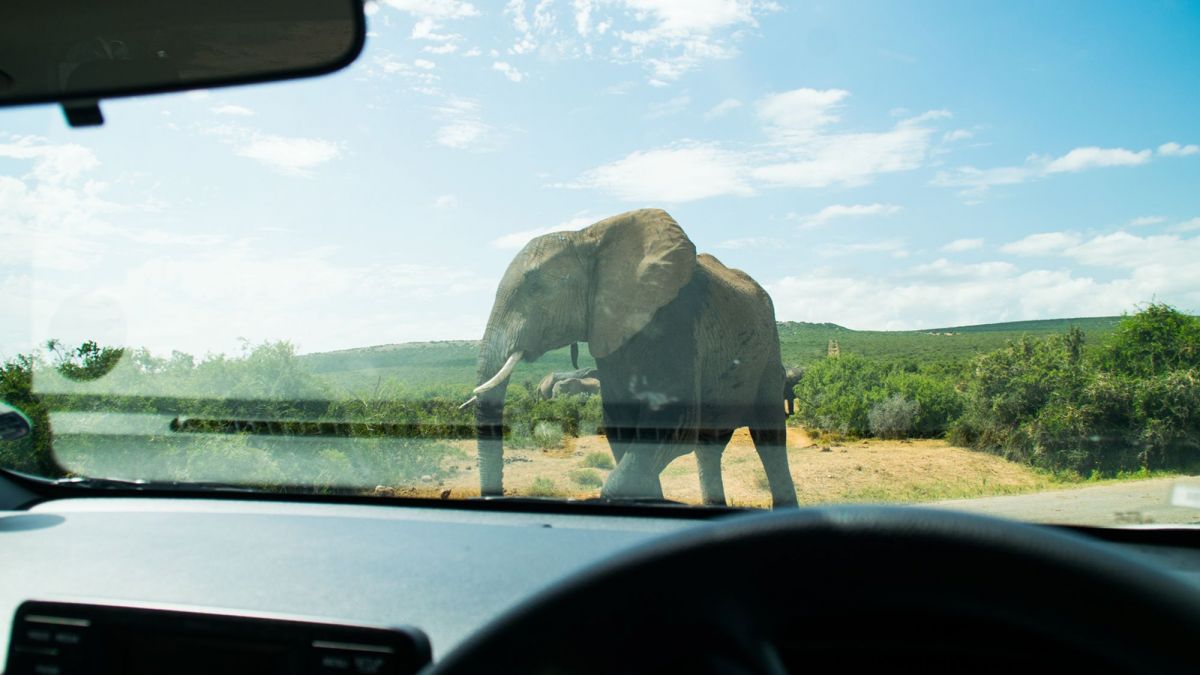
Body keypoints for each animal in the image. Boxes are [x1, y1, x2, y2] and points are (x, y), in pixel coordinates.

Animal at [465, 207, 796, 506]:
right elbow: (621, 426)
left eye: (535, 287)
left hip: (769, 350)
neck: (586, 237)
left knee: (769, 440)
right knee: (709, 447)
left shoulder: (676, 318)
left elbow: (674, 422)